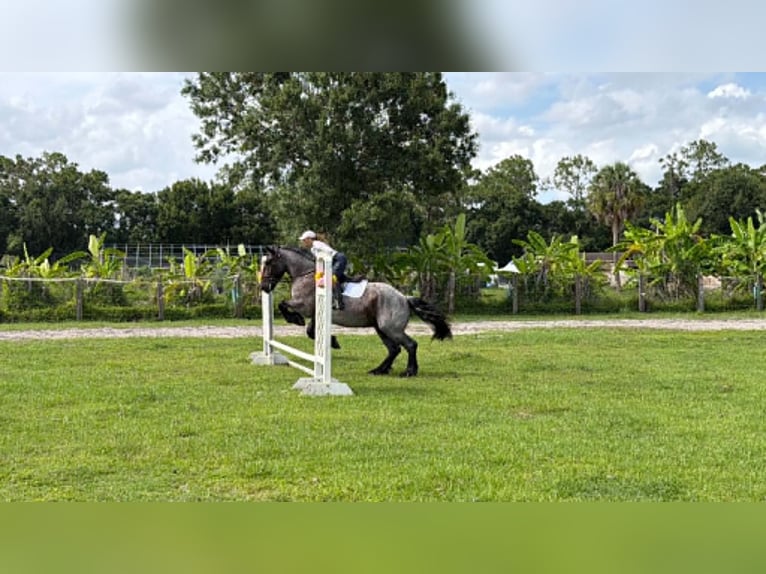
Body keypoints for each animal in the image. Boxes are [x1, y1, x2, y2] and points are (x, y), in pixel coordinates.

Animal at [259, 246, 452, 377]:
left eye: (268, 263)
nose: (264, 287)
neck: (305, 274)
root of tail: (404, 298)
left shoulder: (304, 305)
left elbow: (283, 304)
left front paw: (295, 319)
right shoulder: (314, 313)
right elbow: (311, 332)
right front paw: (333, 341)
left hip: (390, 328)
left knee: (410, 345)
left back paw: (409, 371)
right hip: (380, 328)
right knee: (394, 349)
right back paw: (379, 370)